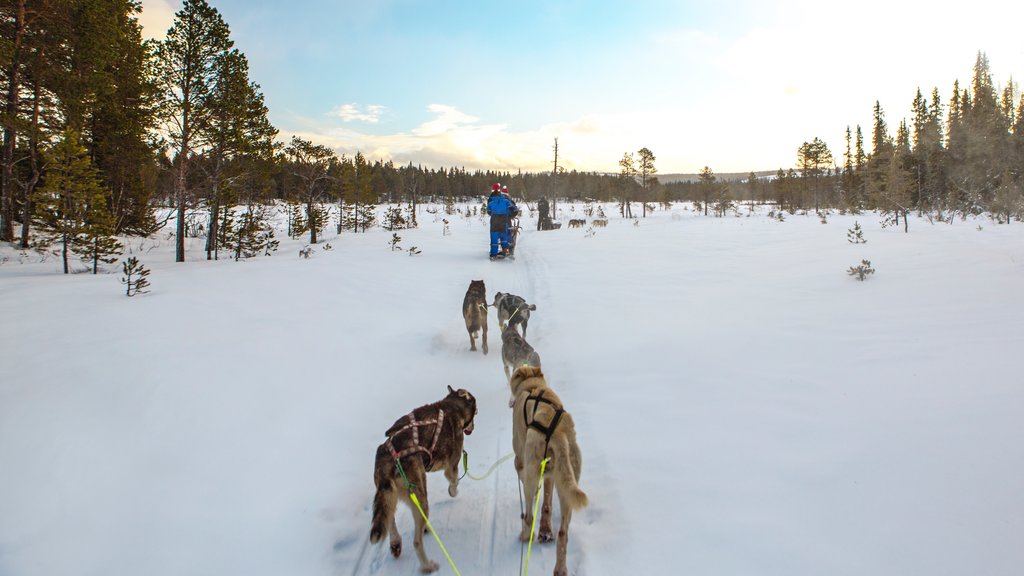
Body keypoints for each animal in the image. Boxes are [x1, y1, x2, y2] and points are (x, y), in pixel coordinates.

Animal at [370, 383, 477, 569]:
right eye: (476, 412)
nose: (473, 427)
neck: (451, 406)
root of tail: (391, 458)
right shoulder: (450, 465)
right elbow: (454, 480)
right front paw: (453, 491)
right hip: (420, 498)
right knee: (416, 542)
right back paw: (428, 566)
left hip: (388, 494)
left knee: (390, 519)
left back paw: (396, 543)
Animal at [507, 366, 589, 573]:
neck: (533, 386)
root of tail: (558, 433)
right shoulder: (551, 476)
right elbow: (547, 503)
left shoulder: (522, 461)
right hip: (568, 484)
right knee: (562, 533)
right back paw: (560, 568)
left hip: (531, 471)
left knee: (529, 515)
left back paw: (525, 535)